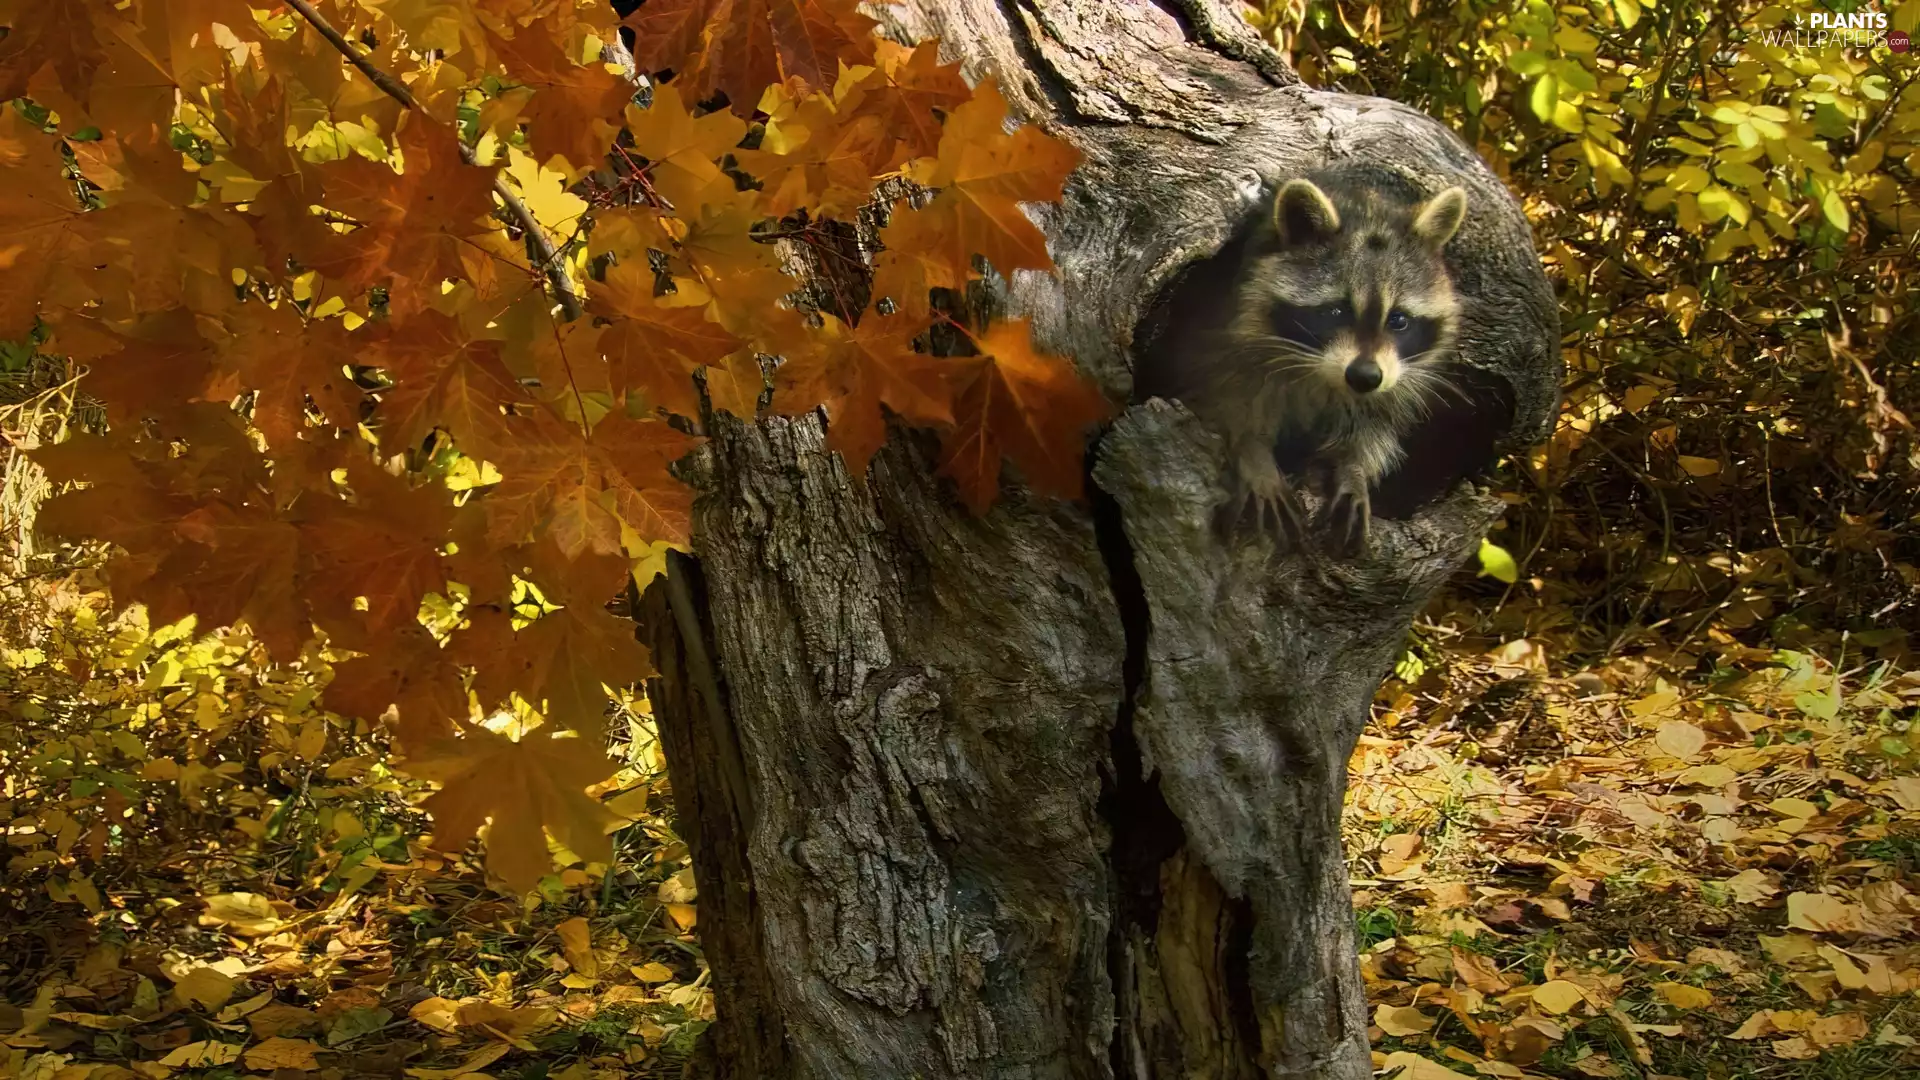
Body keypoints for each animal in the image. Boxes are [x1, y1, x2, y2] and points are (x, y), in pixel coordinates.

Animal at [1172, 167, 1469, 555]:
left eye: (1399, 320)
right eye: (1336, 311)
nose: (1364, 376)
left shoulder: (1394, 380)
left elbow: (1373, 425)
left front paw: (1354, 470)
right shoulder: (1217, 339)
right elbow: (1224, 403)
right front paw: (1253, 455)